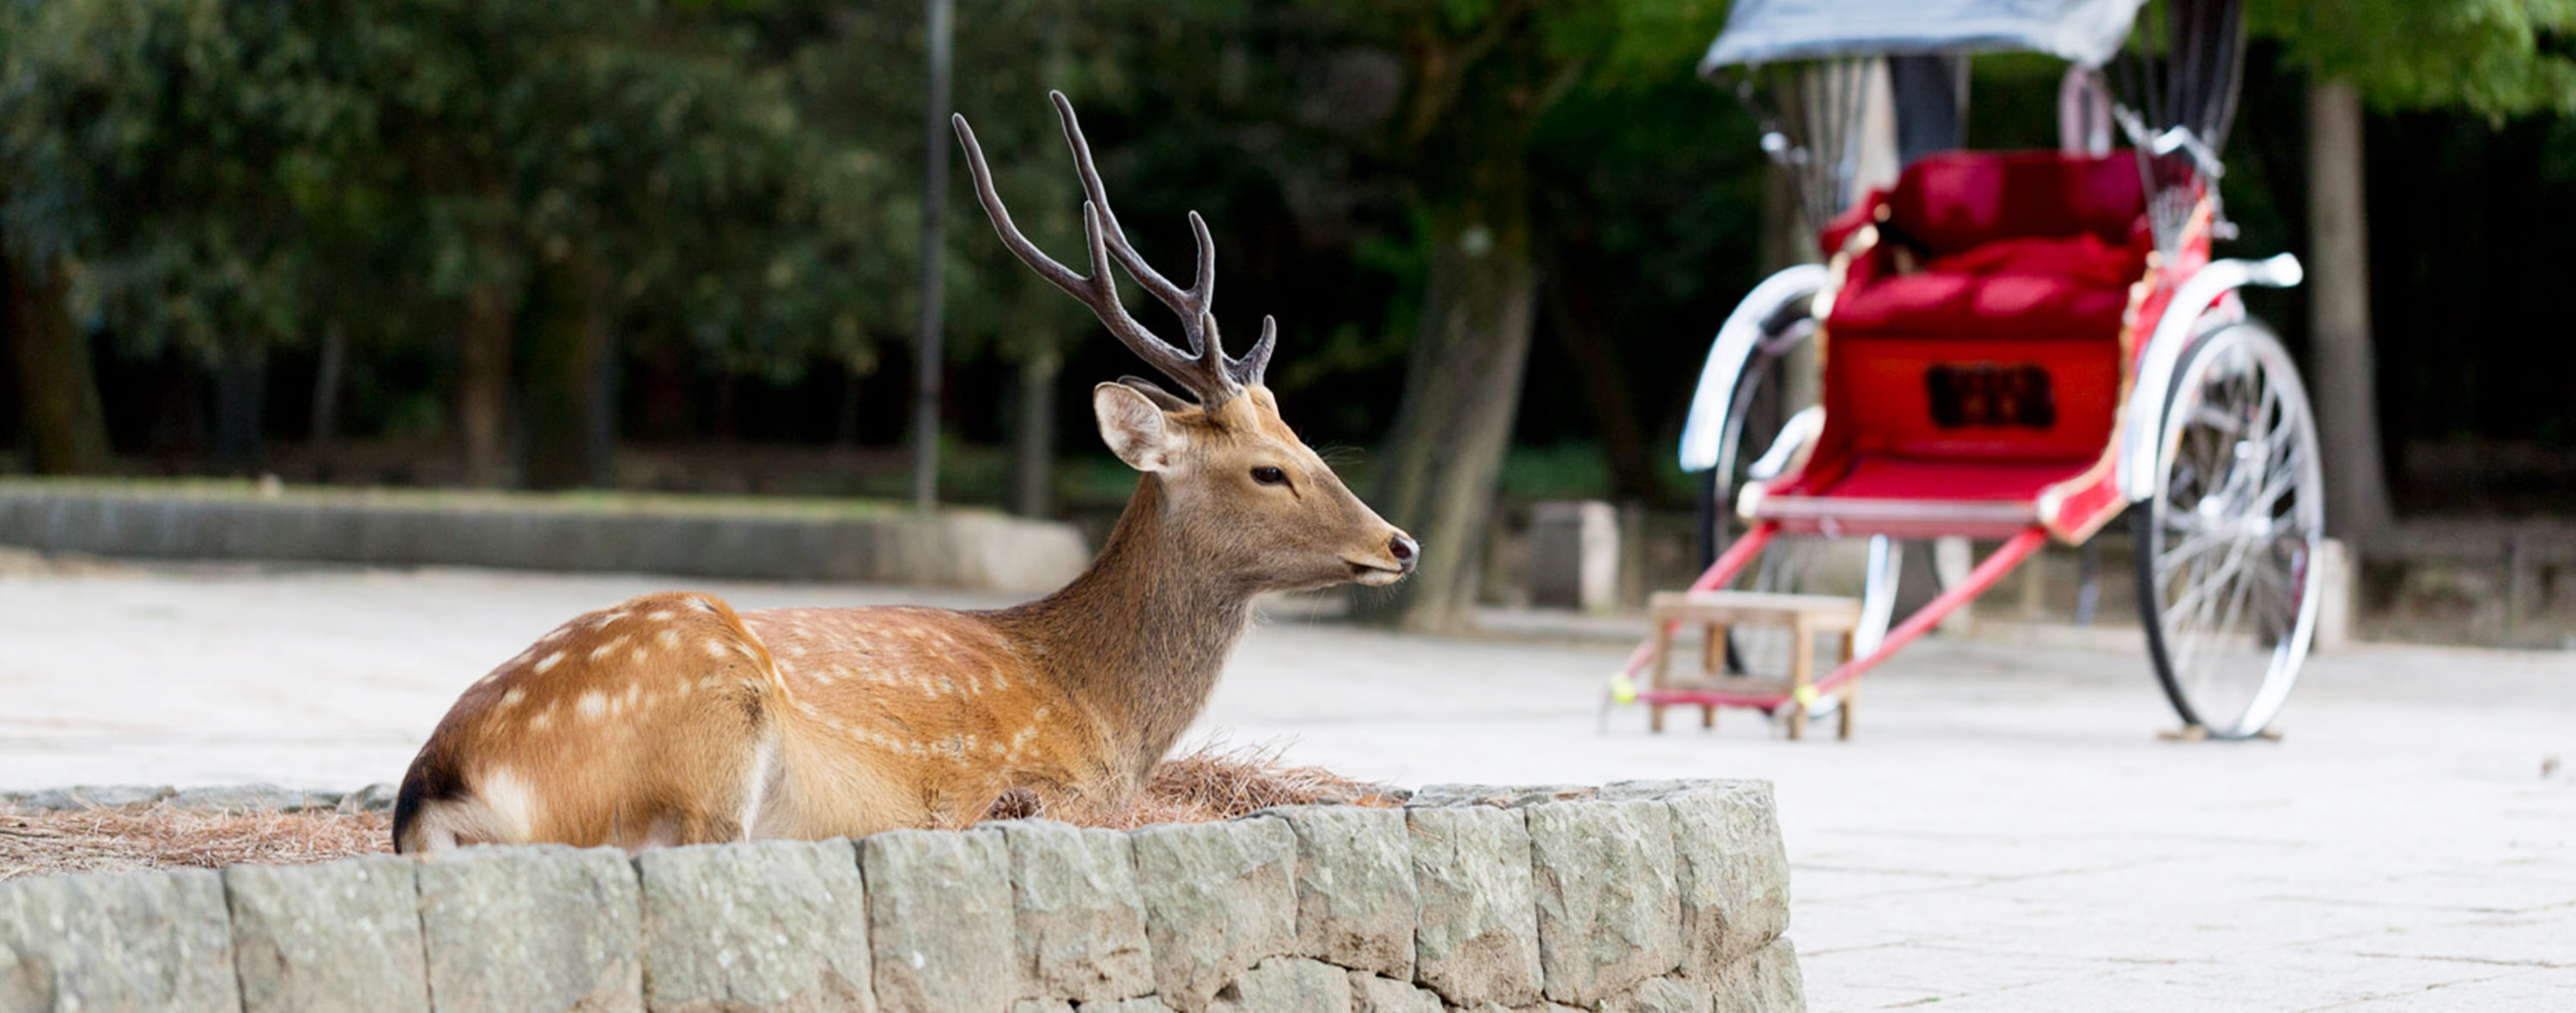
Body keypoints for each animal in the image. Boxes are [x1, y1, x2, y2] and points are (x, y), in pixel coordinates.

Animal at [392, 93, 1422, 850]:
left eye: (1311, 447)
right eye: (1268, 470)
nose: (1399, 544)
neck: (1100, 711)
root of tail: (438, 780)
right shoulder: (1027, 785)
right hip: (706, 748)